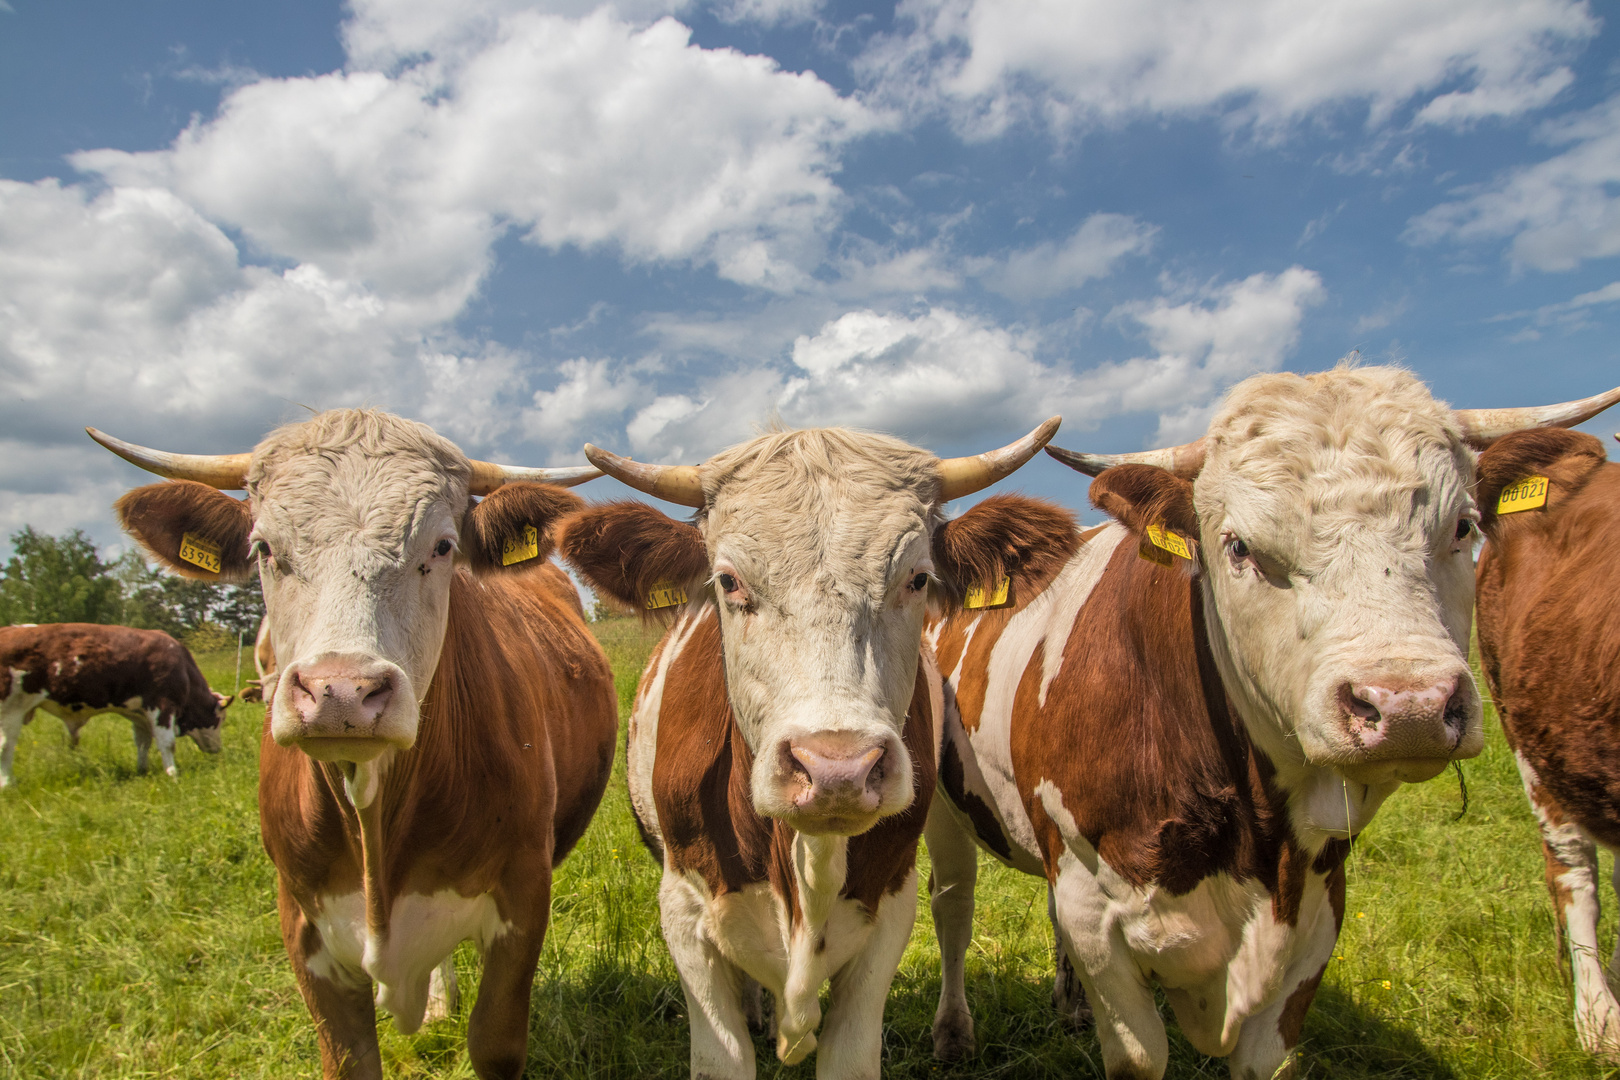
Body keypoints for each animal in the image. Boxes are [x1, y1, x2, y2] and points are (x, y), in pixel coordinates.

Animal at [0, 621, 231, 790]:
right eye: (221, 719)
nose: (217, 749)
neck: (183, 668)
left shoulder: (139, 714)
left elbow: (143, 743)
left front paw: (142, 770)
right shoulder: (163, 706)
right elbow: (167, 744)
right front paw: (173, 775)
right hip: (11, 711)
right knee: (6, 746)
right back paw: (8, 785)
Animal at [90, 414, 618, 1080]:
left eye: (442, 547)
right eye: (264, 549)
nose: (341, 691)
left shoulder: (522, 898)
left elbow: (494, 1042)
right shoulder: (302, 924)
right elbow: (348, 1057)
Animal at [557, 417, 1062, 1080]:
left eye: (918, 578)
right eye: (728, 580)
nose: (837, 769)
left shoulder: (888, 908)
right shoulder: (685, 914)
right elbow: (722, 1053)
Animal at [926, 365, 1620, 1080]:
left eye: (1463, 526)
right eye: (1238, 547)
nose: (1410, 706)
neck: (1251, 834)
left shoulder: (1315, 917)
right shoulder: (1095, 915)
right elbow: (1139, 1051)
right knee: (953, 902)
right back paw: (954, 1031)